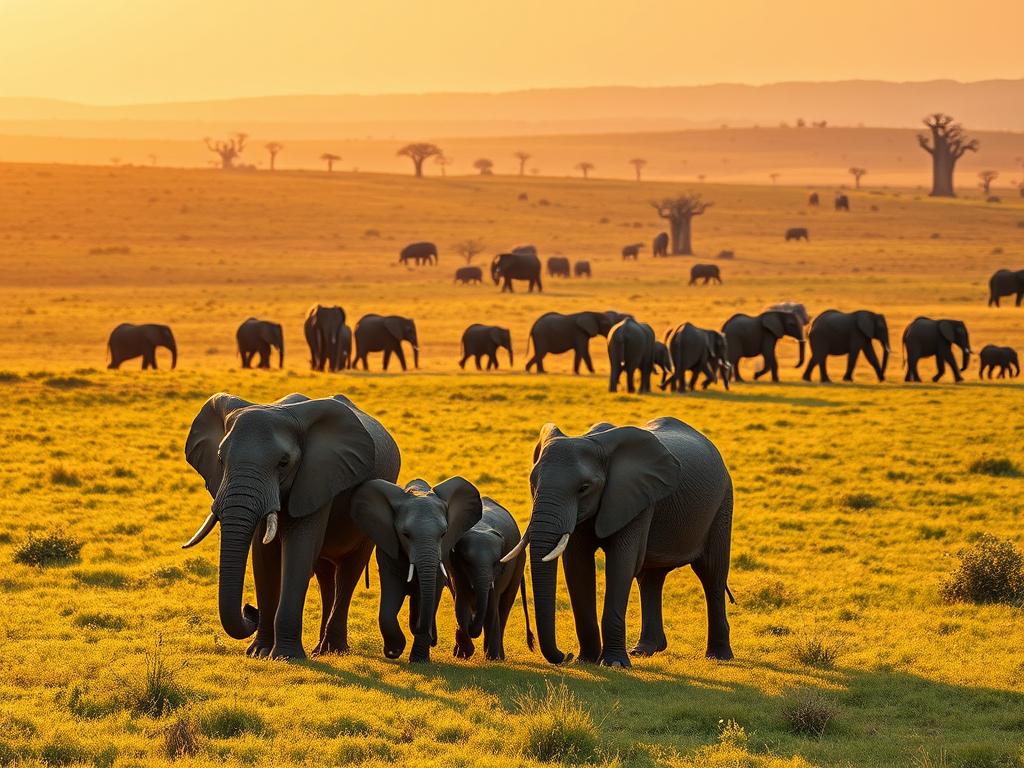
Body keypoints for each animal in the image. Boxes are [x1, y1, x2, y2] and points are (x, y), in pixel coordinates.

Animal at [182, 392, 400, 659]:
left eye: (283, 463)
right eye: (221, 460)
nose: (249, 610)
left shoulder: (318, 477)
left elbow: (299, 548)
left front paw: (286, 656)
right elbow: (263, 554)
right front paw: (259, 652)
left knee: (349, 572)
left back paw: (333, 650)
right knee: (325, 574)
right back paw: (320, 650)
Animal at [350, 477, 482, 662]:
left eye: (443, 534)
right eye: (405, 534)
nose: (426, 631)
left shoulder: (442, 554)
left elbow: (430, 594)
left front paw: (419, 658)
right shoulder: (388, 548)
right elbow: (390, 596)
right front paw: (394, 651)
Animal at [450, 496, 533, 661]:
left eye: (496, 563)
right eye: (467, 562)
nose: (472, 625)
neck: (480, 528)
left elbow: (491, 605)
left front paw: (492, 658)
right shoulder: (455, 568)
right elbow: (461, 604)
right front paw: (464, 653)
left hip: (518, 563)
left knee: (504, 605)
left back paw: (498, 656)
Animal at [504, 418, 734, 667]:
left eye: (584, 488)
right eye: (532, 484)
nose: (566, 655)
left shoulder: (636, 498)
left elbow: (621, 563)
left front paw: (613, 663)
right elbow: (577, 565)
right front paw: (585, 660)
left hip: (722, 503)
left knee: (711, 574)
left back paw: (719, 656)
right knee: (651, 578)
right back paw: (644, 650)